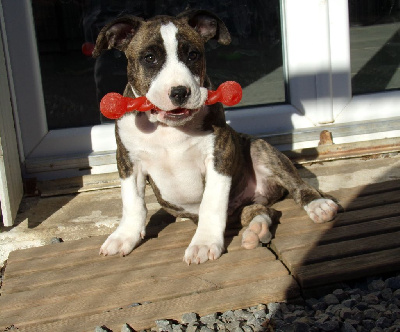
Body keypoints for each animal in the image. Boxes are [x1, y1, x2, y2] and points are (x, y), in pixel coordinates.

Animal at [93, 9, 338, 264]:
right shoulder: (128, 162)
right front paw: (124, 236)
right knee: (261, 211)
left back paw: (318, 206)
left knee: (298, 186)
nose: (180, 92)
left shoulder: (220, 154)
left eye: (193, 55)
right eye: (149, 58)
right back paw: (255, 230)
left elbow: (211, 203)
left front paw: (203, 242)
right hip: (243, 205)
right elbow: (132, 202)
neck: (168, 128)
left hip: (260, 149)